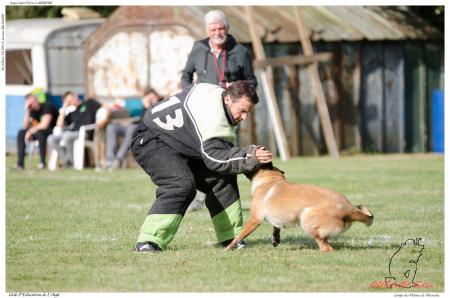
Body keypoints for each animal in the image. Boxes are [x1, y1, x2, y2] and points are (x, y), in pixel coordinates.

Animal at [227, 163, 374, 251]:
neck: (271, 180)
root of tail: (349, 208)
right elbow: (276, 229)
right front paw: (275, 240)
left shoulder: (254, 219)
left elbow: (239, 236)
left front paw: (228, 248)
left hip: (306, 219)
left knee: (326, 248)